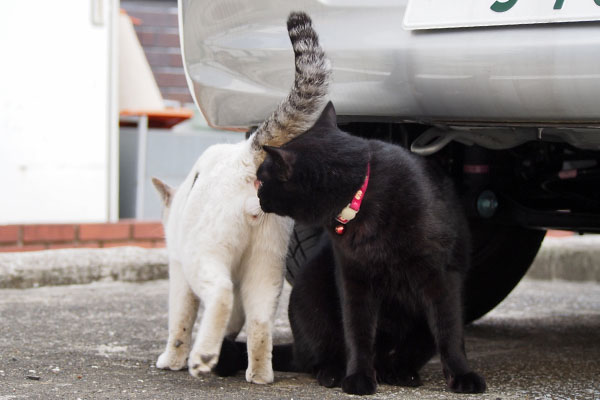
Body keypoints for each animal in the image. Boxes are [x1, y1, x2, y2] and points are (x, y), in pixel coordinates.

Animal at [150, 10, 328, 382]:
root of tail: (248, 155)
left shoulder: (179, 273)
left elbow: (181, 322)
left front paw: (173, 358)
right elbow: (237, 318)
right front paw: (225, 345)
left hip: (204, 254)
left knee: (220, 295)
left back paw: (202, 357)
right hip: (267, 264)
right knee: (260, 321)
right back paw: (259, 373)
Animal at [251, 101, 486, 396]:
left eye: (262, 180)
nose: (256, 196)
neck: (363, 198)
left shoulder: (442, 277)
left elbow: (449, 331)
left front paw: (462, 375)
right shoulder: (353, 278)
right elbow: (357, 331)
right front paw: (359, 377)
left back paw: (399, 372)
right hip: (310, 294)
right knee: (316, 357)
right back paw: (333, 372)